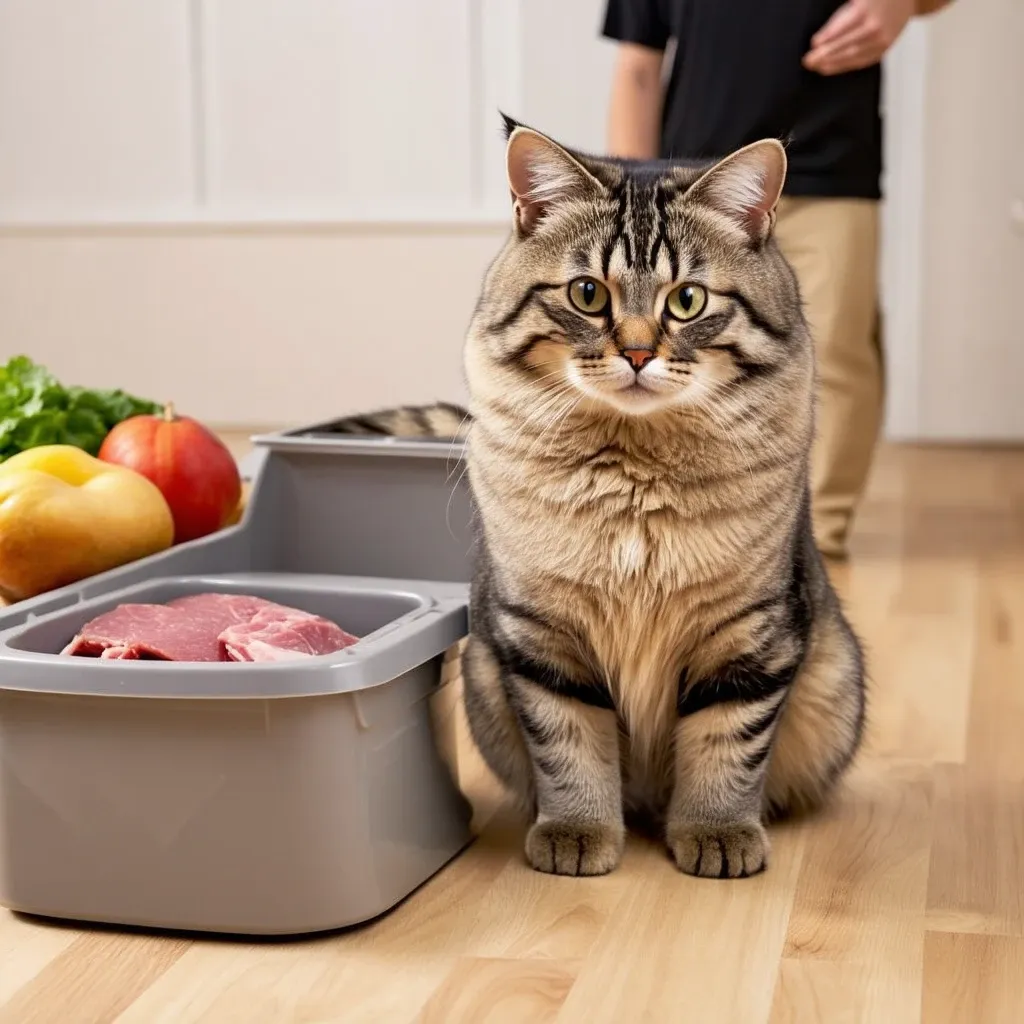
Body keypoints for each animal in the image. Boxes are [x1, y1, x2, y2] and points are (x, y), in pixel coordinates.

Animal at [339, 116, 860, 876]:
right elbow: (570, 743)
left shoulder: (749, 638)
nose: (638, 354)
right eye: (588, 294)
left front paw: (717, 834)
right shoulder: (542, 636)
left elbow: (726, 743)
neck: (634, 474)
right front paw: (577, 833)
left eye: (687, 300)